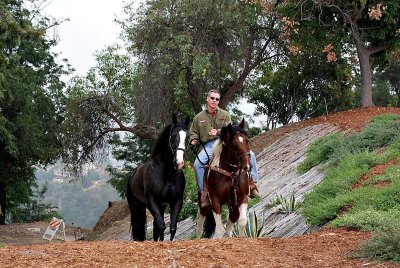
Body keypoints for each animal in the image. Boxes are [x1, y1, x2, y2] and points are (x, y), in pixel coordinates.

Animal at [128, 113, 191, 241]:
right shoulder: (152, 201)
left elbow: (172, 228)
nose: (179, 162)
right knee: (140, 226)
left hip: (160, 206)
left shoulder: (177, 200)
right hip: (137, 207)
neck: (167, 173)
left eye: (187, 137)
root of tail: (133, 174)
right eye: (173, 136)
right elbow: (161, 226)